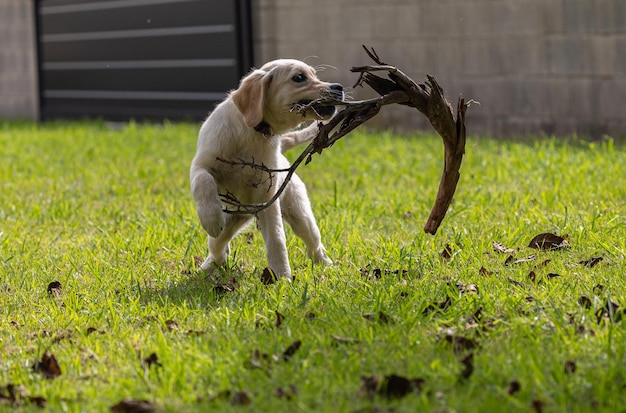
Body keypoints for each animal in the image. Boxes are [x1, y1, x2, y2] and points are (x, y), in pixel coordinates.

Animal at [190, 58, 344, 280]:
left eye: (315, 75)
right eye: (299, 77)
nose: (338, 87)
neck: (253, 131)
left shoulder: (268, 199)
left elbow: (277, 239)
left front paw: (282, 277)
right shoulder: (200, 165)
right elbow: (204, 181)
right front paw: (210, 217)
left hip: (299, 215)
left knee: (314, 244)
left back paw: (327, 265)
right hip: (231, 220)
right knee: (218, 246)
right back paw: (208, 266)